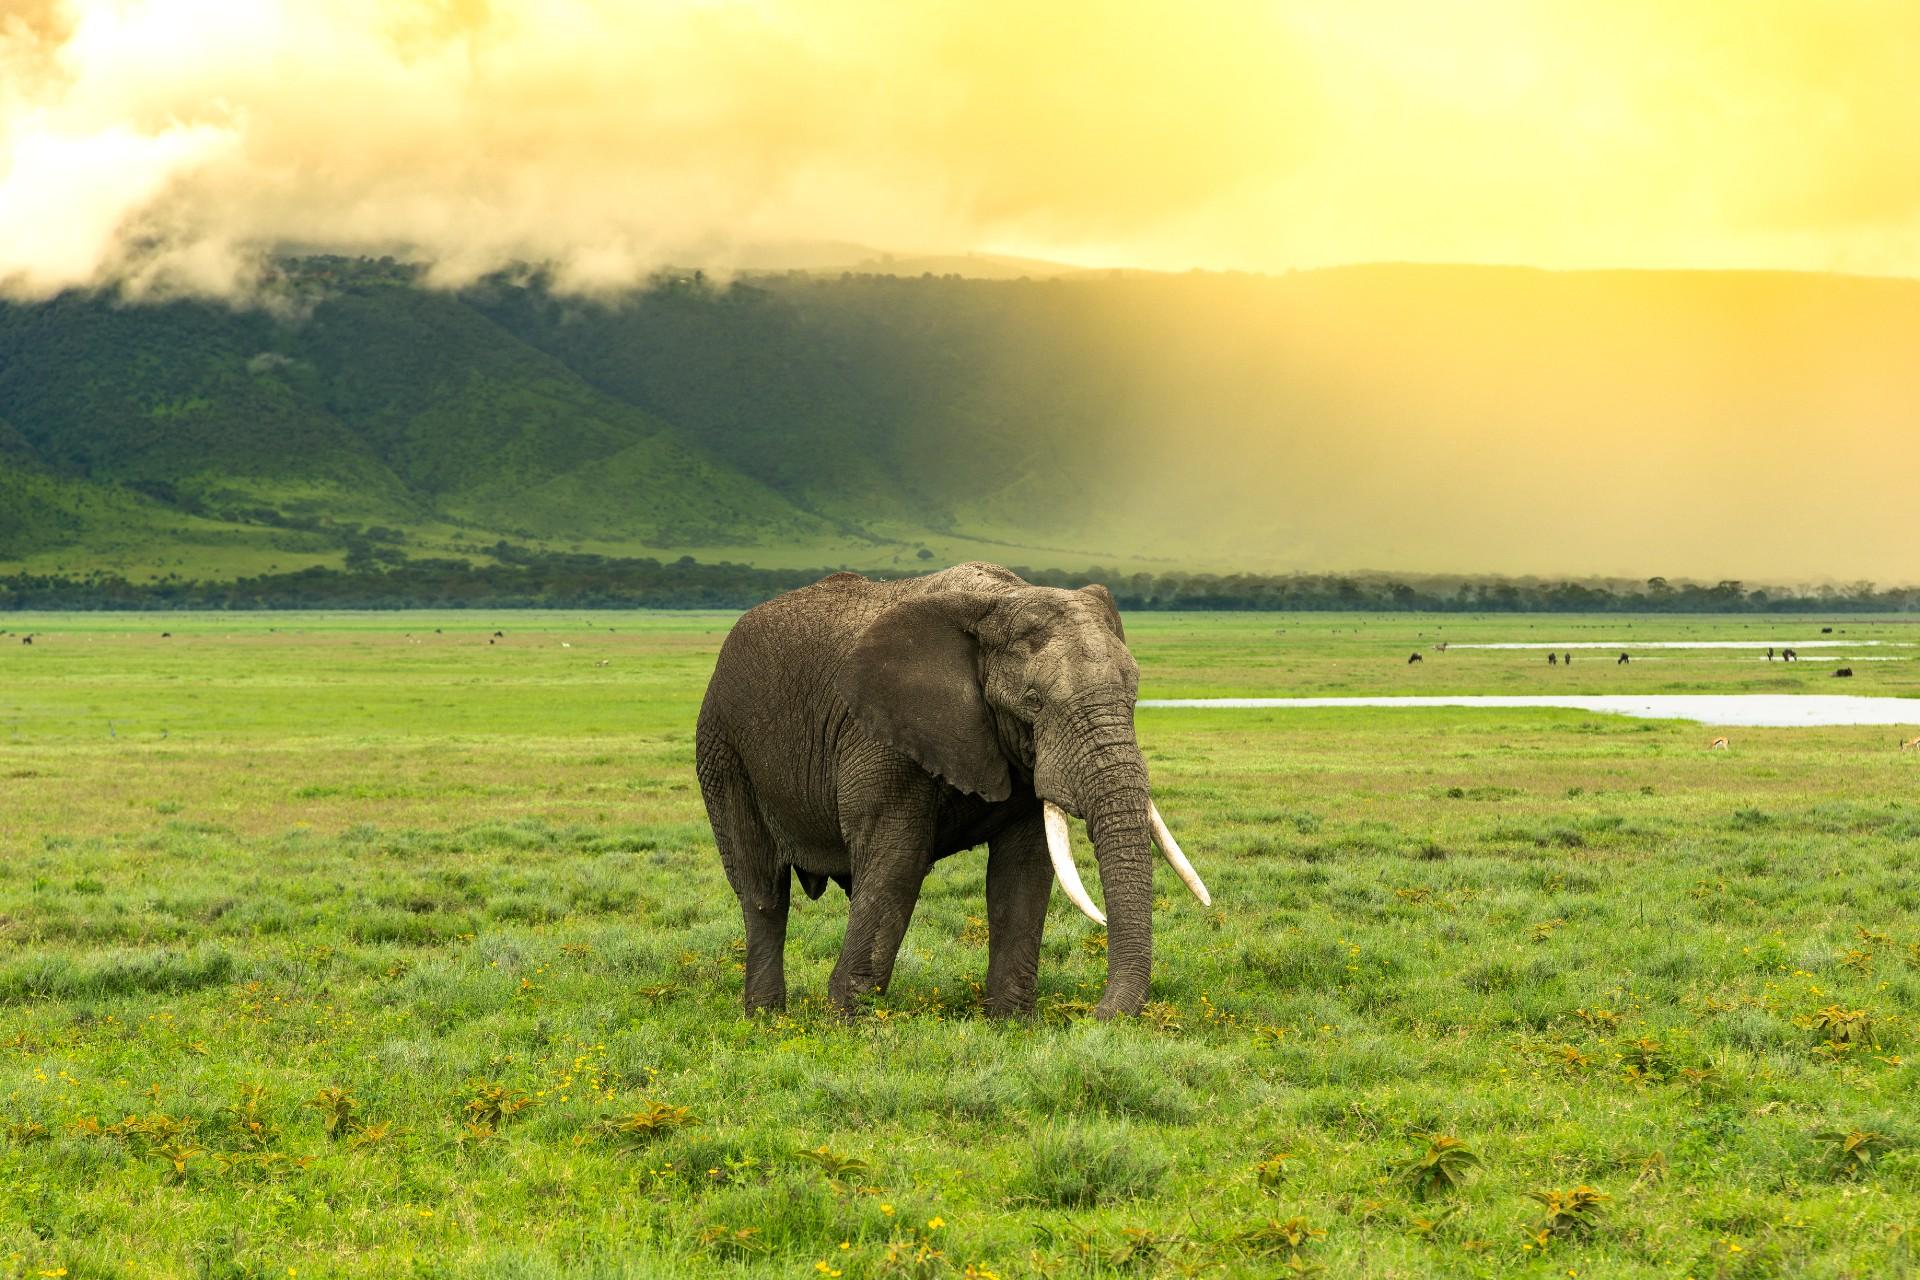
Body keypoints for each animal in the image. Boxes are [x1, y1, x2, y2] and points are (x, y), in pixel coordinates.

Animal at [695, 562, 1209, 1020]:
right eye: (1034, 701)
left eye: (1134, 694)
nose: (1096, 1016)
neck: (997, 601)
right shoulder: (881, 734)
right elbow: (897, 861)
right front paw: (850, 1026)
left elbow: (1022, 870)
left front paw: (1011, 1025)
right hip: (723, 748)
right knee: (763, 889)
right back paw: (767, 1020)